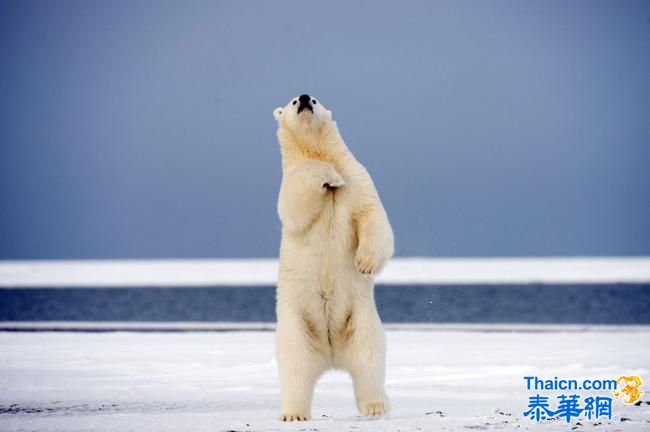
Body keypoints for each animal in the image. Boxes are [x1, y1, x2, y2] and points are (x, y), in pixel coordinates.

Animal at [270, 93, 392, 420]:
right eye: (292, 101)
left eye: (314, 98)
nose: (303, 98)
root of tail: (331, 355)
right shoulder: (290, 182)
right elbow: (295, 206)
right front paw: (329, 177)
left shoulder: (359, 179)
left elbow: (372, 215)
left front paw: (365, 263)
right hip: (296, 323)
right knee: (295, 366)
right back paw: (293, 412)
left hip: (361, 319)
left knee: (368, 359)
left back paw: (375, 405)